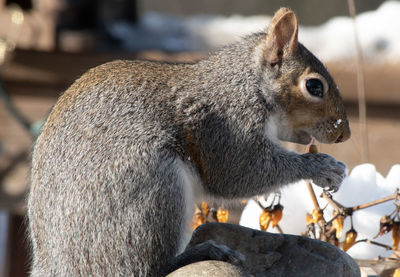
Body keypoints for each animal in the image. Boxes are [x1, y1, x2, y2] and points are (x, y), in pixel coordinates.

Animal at [28, 7, 350, 274]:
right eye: (314, 86)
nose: (344, 133)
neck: (247, 85)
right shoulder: (227, 125)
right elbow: (240, 173)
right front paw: (323, 167)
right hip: (153, 192)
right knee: (148, 267)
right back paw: (206, 252)